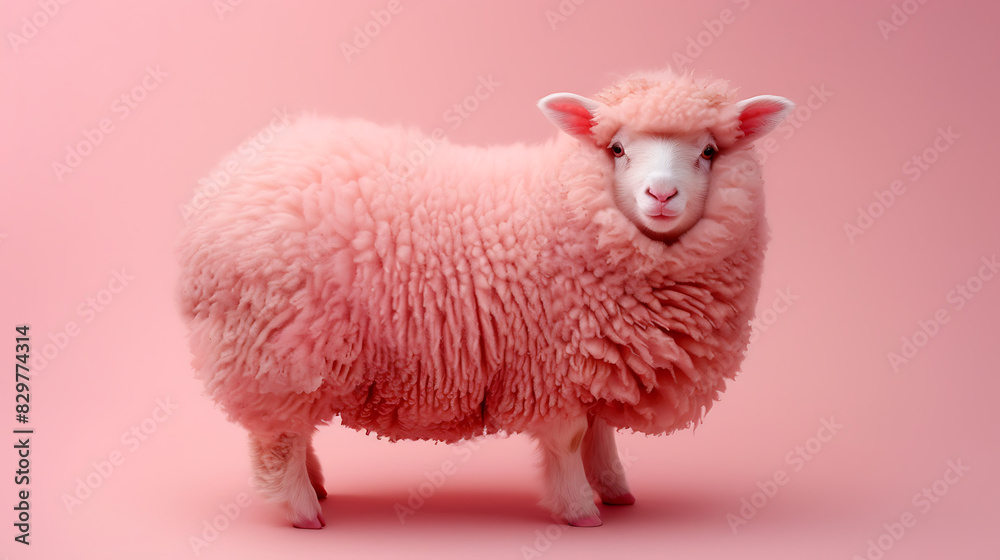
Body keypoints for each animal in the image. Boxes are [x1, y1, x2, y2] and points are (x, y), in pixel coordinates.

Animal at [176, 69, 793, 529]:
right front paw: (580, 511)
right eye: (617, 148)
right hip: (275, 350)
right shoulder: (551, 369)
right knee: (278, 438)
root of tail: (223, 184)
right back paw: (302, 509)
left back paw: (318, 485)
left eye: (709, 151)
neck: (562, 206)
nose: (660, 195)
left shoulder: (597, 358)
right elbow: (570, 440)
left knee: (294, 430)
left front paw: (616, 489)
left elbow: (602, 434)